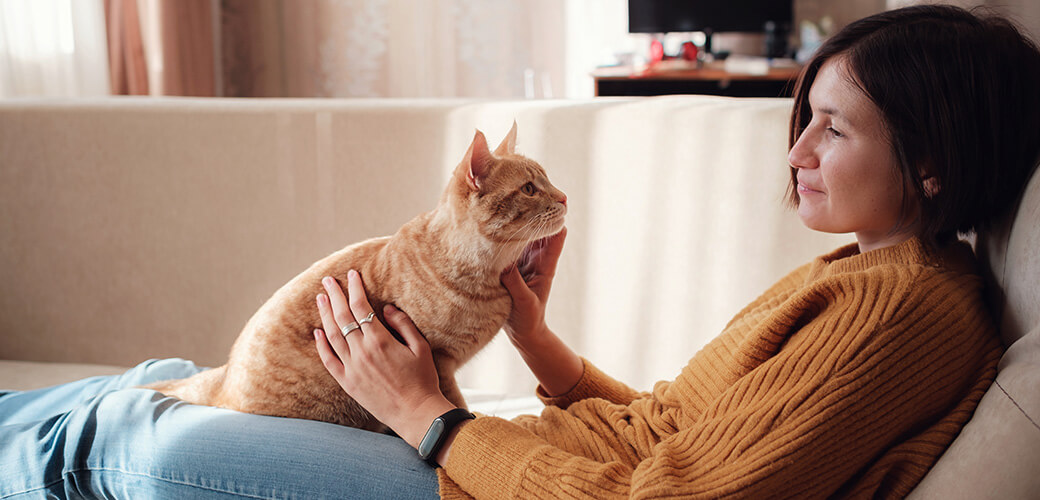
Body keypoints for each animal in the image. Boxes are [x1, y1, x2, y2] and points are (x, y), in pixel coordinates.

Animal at [142, 123, 565, 428]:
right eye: (530, 188)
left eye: (548, 179)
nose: (563, 197)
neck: (486, 279)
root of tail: (224, 379)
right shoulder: (439, 361)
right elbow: (454, 402)